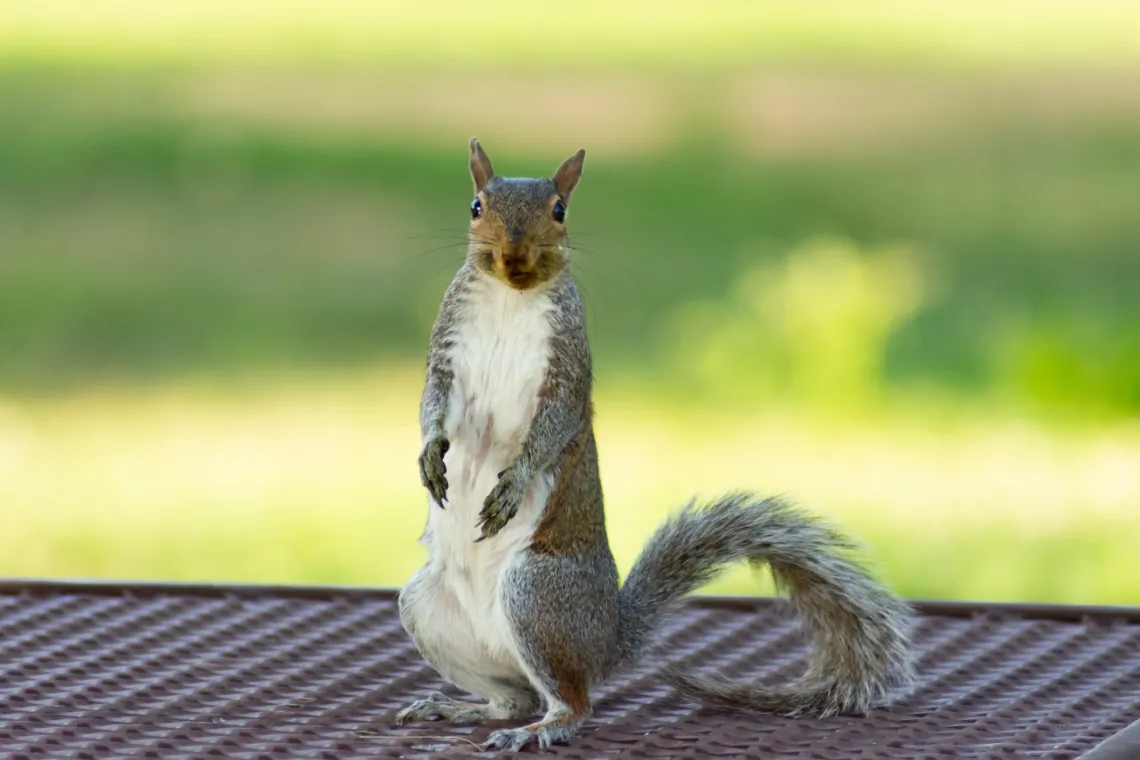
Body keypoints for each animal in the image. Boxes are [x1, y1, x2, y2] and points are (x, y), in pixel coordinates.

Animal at [395, 139, 914, 753]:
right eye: (476, 207)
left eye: (560, 211)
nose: (513, 256)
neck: (508, 299)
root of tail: (606, 642)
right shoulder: (447, 352)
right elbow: (433, 405)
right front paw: (430, 457)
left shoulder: (567, 370)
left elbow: (552, 427)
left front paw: (512, 485)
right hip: (426, 607)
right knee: (512, 697)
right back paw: (457, 708)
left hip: (535, 593)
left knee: (571, 703)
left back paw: (537, 729)